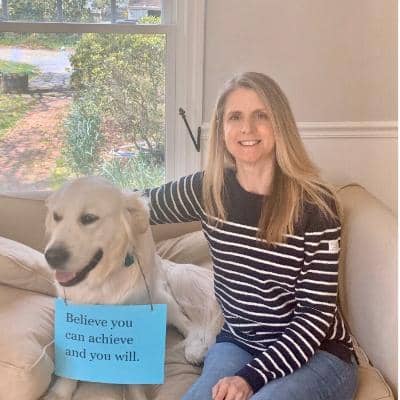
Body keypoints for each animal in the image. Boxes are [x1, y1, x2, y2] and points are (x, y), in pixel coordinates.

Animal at [42, 176, 222, 400]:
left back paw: (195, 349)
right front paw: (60, 392)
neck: (102, 283)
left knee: (190, 325)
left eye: (89, 218)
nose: (51, 257)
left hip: (163, 299)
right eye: (56, 217)